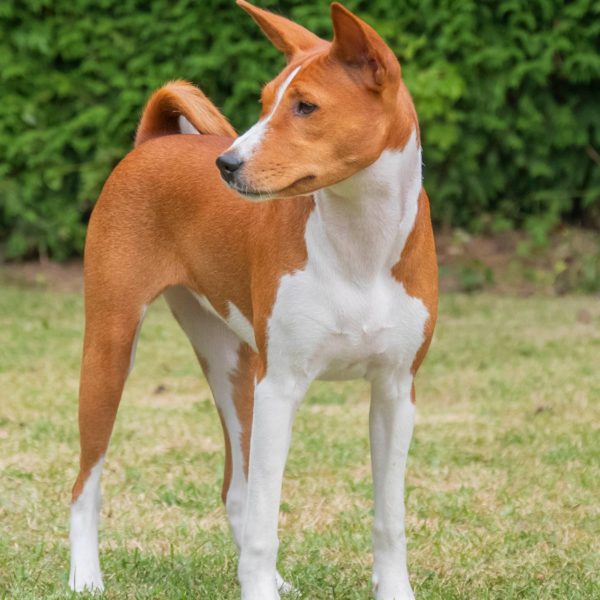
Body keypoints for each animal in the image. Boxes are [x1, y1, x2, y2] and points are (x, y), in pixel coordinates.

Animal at [68, 2, 438, 598]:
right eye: (266, 103)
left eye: (306, 106)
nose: (226, 163)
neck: (360, 250)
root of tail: (152, 142)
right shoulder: (280, 386)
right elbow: (268, 515)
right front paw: (257, 584)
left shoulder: (394, 392)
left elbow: (390, 518)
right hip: (112, 349)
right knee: (86, 480)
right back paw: (85, 575)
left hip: (232, 363)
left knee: (234, 488)